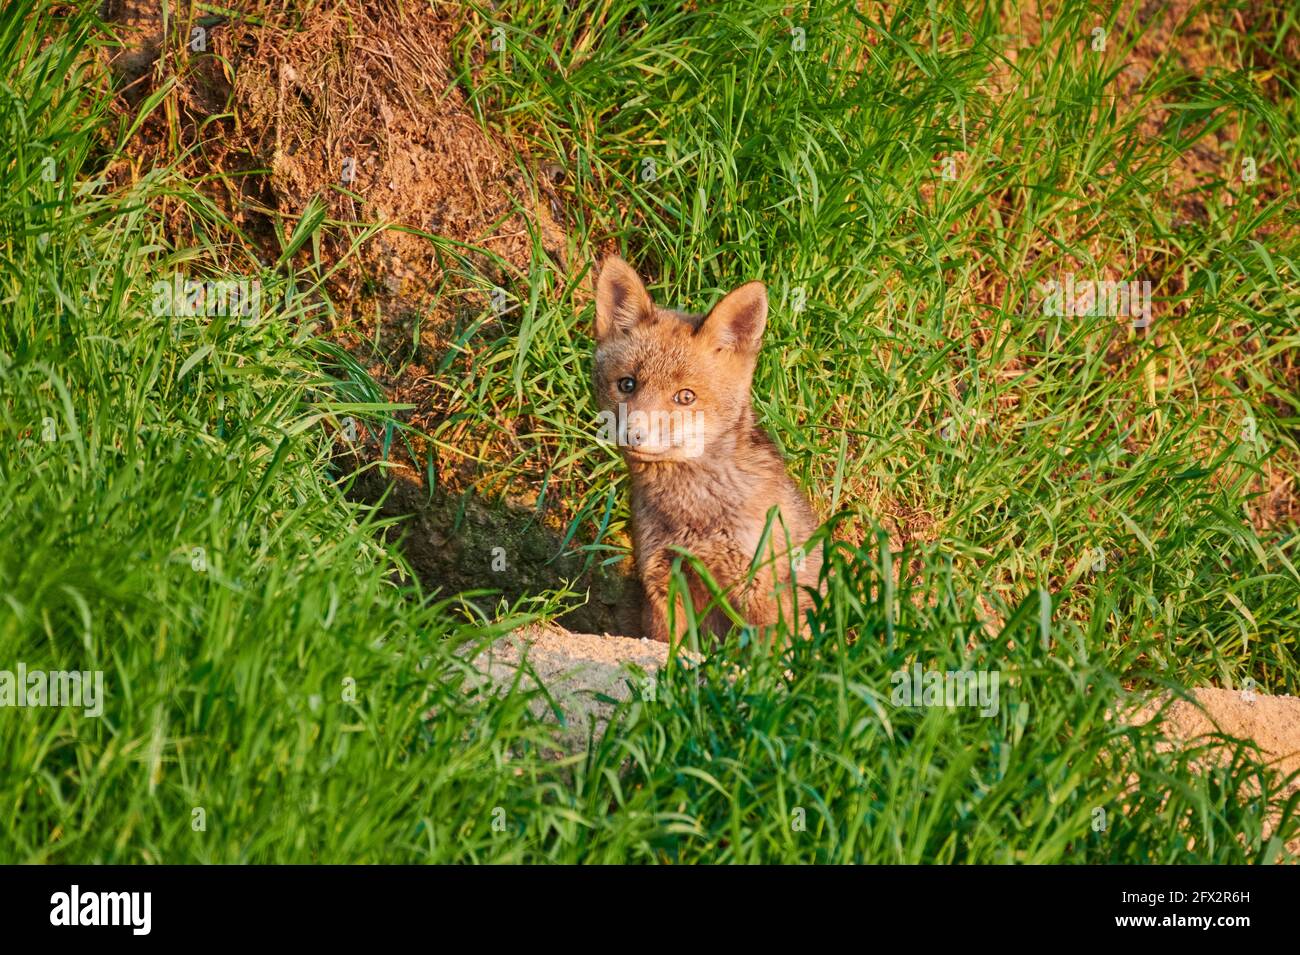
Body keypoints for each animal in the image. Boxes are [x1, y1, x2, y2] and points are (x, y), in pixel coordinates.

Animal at [592, 257, 816, 647]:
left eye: (685, 396)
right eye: (627, 384)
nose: (633, 434)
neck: (694, 517)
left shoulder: (760, 585)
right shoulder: (663, 578)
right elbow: (668, 645)